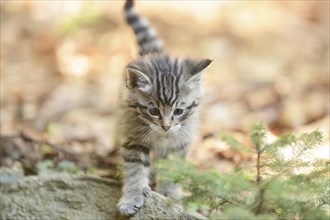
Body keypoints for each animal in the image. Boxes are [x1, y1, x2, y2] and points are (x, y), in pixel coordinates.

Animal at [116, 0, 213, 216]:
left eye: (178, 111)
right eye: (153, 111)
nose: (166, 126)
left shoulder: (180, 141)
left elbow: (171, 167)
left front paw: (169, 192)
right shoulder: (133, 137)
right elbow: (135, 168)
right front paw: (132, 196)